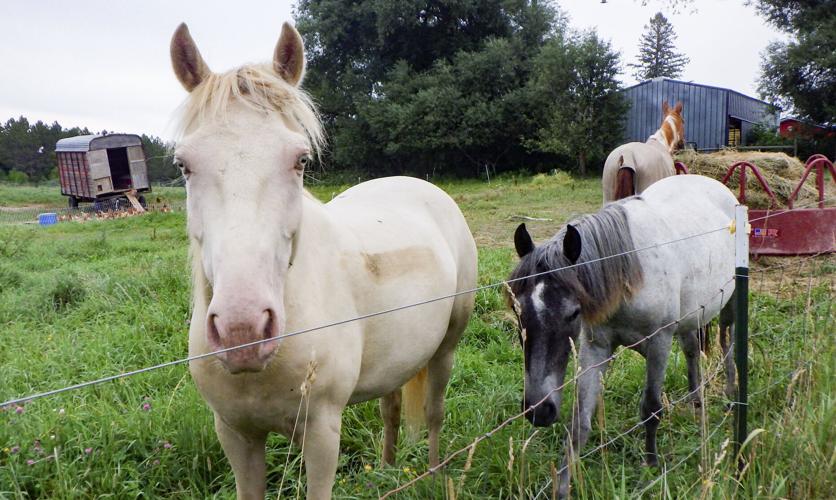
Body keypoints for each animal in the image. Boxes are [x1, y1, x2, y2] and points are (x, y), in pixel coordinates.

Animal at [170, 22, 477, 499]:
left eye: (300, 160)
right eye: (183, 165)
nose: (243, 331)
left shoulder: (320, 434)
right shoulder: (235, 435)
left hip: (447, 347)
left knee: (433, 412)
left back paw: (432, 474)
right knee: (391, 407)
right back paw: (388, 470)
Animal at [507, 174, 737, 498]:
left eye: (573, 314)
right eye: (518, 313)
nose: (539, 411)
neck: (631, 275)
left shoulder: (659, 343)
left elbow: (651, 408)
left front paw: (650, 466)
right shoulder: (595, 347)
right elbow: (579, 422)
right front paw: (563, 485)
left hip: (730, 303)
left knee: (728, 344)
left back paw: (730, 397)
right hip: (691, 316)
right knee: (693, 352)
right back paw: (697, 404)